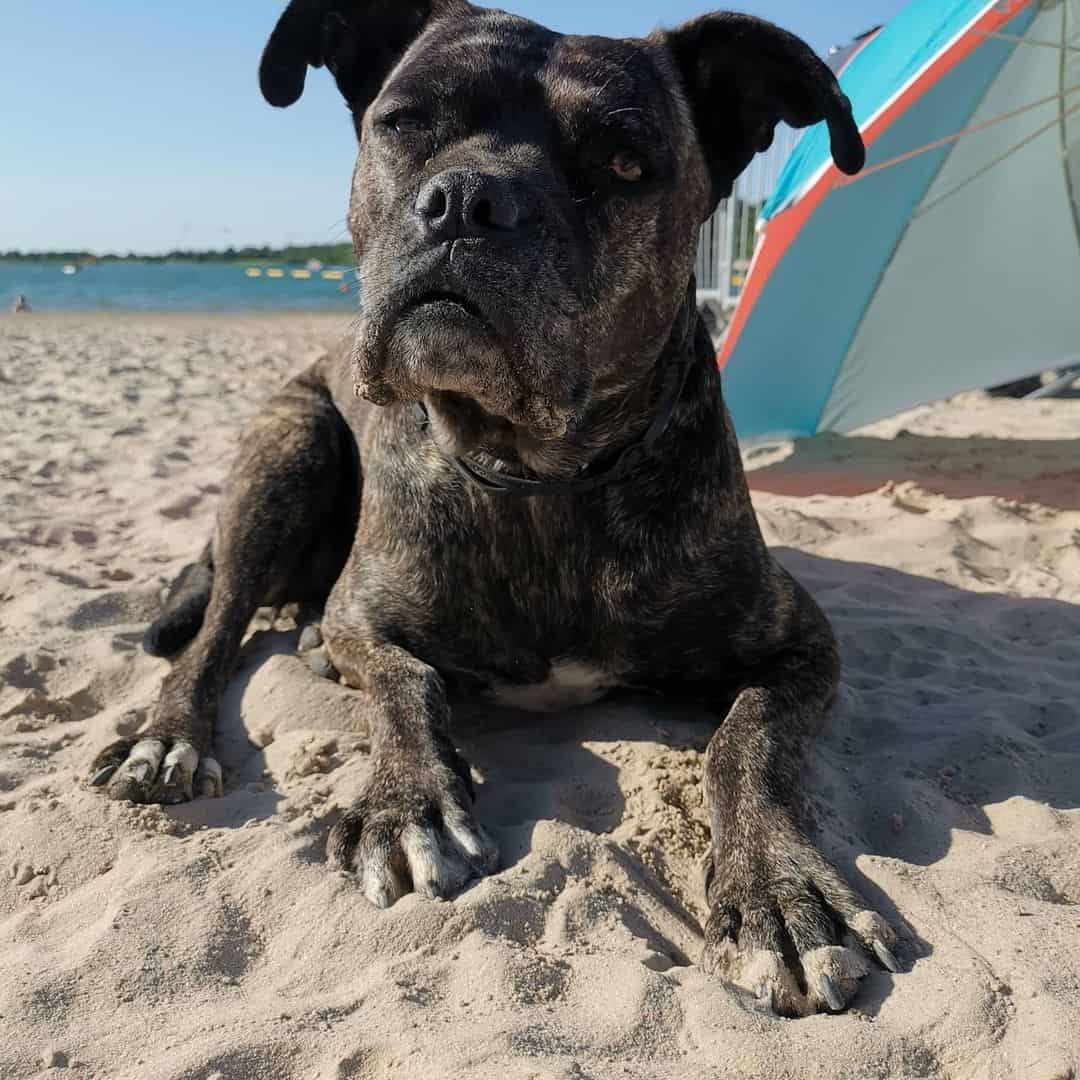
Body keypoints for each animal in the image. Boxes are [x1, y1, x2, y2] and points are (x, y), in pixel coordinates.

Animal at [90, 0, 902, 1015]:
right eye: (404, 123)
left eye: (625, 162)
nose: (468, 201)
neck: (538, 474)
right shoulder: (363, 618)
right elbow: (406, 683)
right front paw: (406, 803)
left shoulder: (799, 645)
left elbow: (746, 744)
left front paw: (775, 889)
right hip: (289, 451)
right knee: (217, 628)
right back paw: (168, 737)